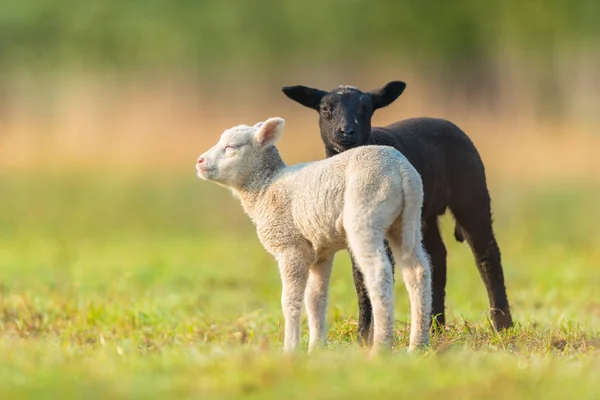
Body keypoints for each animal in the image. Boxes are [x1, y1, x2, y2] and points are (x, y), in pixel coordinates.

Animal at [197, 116, 432, 354]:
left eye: (231, 146)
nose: (199, 161)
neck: (265, 187)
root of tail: (401, 170)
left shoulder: (290, 247)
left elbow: (290, 301)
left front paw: (291, 348)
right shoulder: (321, 252)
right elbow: (315, 297)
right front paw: (316, 347)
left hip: (365, 210)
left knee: (379, 272)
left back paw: (380, 347)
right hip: (407, 220)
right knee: (417, 271)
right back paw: (417, 344)